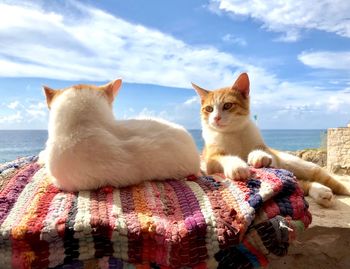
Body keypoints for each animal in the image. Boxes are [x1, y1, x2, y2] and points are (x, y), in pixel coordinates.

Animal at [193, 72, 348, 206]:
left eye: (227, 105)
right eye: (209, 109)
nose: (216, 118)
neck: (232, 133)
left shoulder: (268, 151)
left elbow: (265, 153)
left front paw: (258, 156)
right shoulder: (210, 159)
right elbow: (221, 158)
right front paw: (237, 165)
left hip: (302, 166)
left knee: (322, 179)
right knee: (301, 183)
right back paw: (320, 191)